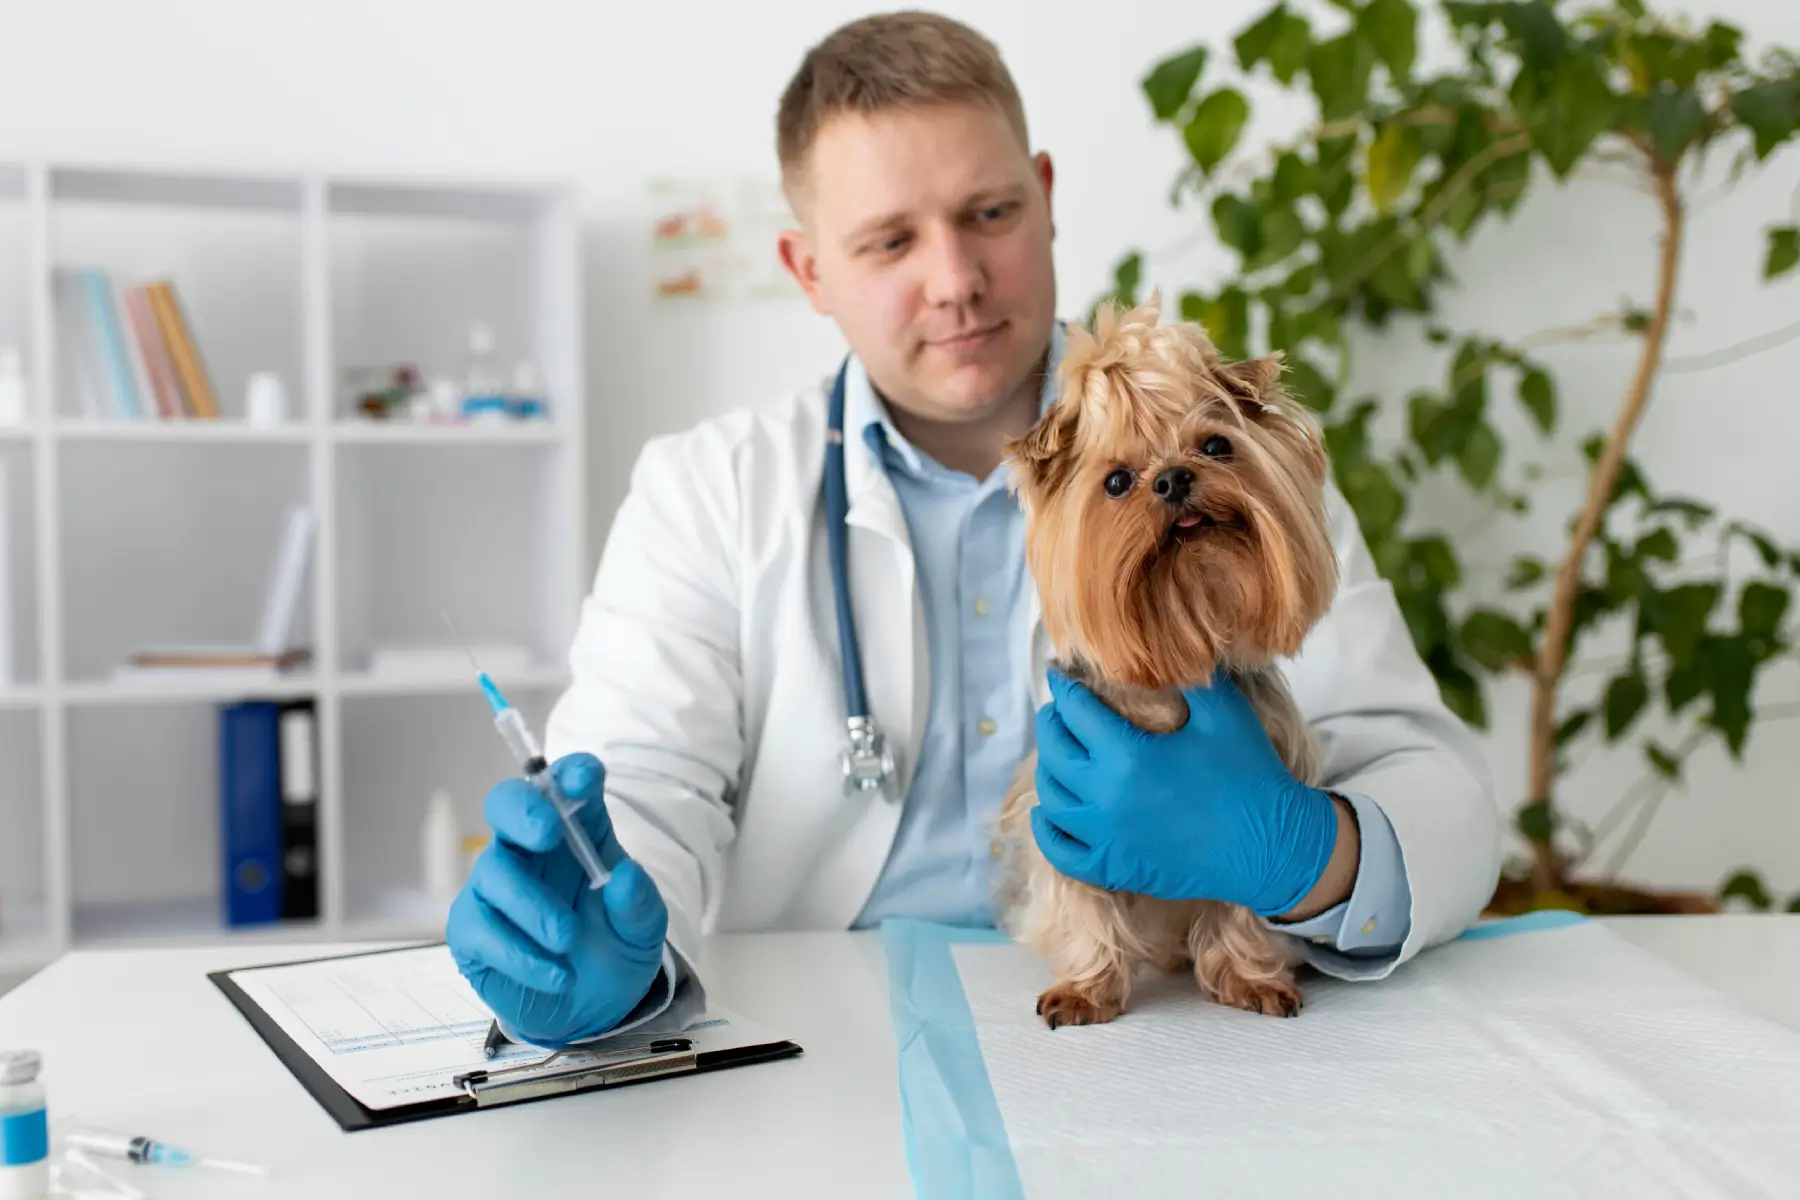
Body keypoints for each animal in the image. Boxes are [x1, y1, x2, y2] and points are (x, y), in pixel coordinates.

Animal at [993, 295, 1346, 1029]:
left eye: (1215, 445)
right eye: (1116, 482)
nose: (1175, 477)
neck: (1174, 673)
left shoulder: (1263, 793)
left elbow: (1244, 883)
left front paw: (1248, 976)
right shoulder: (1069, 814)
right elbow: (1082, 900)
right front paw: (1085, 988)